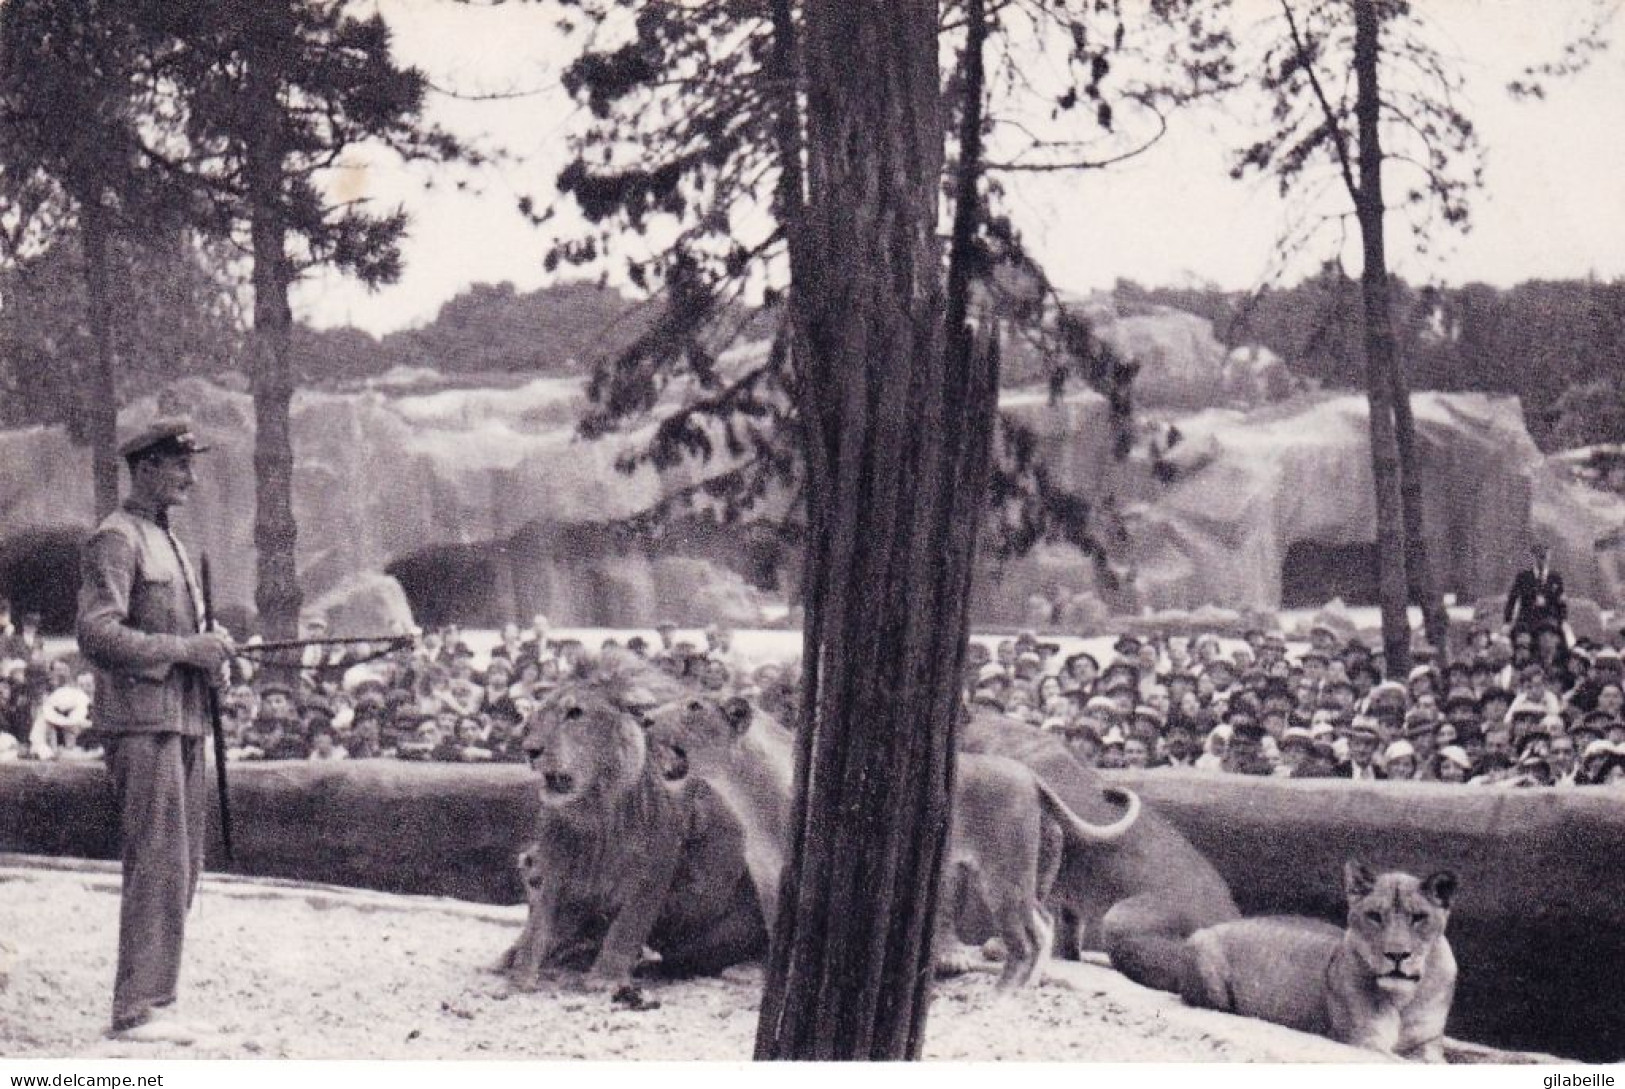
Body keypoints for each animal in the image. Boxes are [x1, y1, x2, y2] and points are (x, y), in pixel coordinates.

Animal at [637, 698, 1144, 988]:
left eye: (693, 707)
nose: (641, 716)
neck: (748, 793)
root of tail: (1032, 776)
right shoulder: (767, 877)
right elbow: (775, 926)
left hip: (1004, 873)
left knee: (1032, 931)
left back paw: (1009, 992)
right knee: (1044, 921)